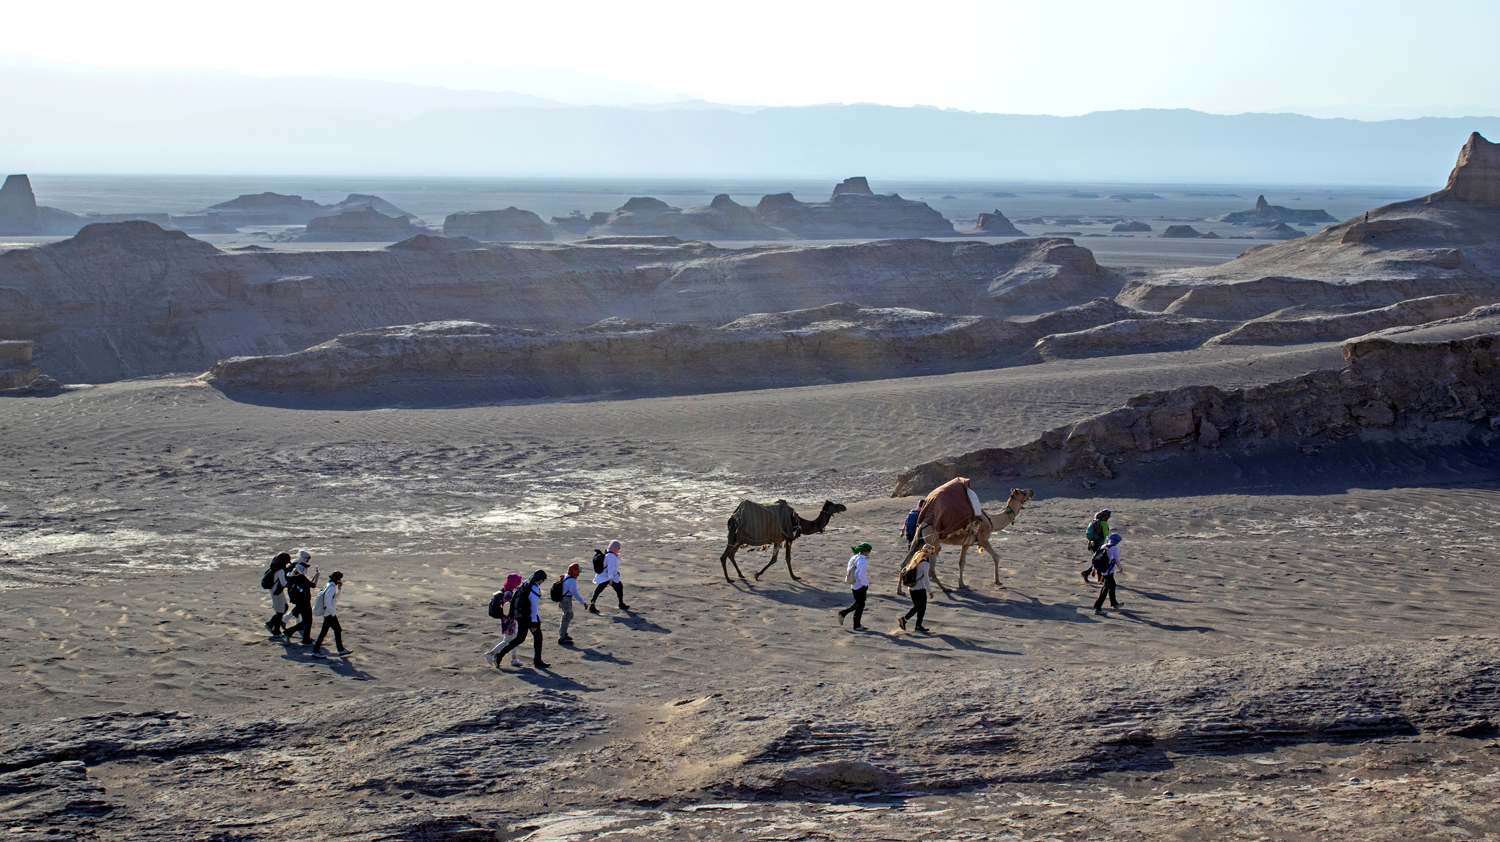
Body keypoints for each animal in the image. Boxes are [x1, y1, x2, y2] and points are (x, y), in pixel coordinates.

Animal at [720, 495, 852, 582]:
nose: (844, 507)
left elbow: (786, 558)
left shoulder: (784, 538)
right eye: (834, 506)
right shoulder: (783, 538)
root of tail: (733, 517)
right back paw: (728, 579)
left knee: (731, 554)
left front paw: (794, 576)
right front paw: (757, 574)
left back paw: (740, 575)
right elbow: (777, 559)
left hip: (739, 539)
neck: (800, 522)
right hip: (734, 537)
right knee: (724, 556)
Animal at [894, 483, 1038, 594]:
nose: (1032, 490)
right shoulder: (983, 539)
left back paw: (900, 590)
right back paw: (945, 588)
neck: (991, 520)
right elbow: (996, 557)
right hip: (933, 542)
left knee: (904, 562)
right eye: (1022, 492)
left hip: (919, 540)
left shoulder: (966, 543)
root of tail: (923, 524)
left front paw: (962, 584)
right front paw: (997, 581)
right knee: (930, 568)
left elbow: (961, 562)